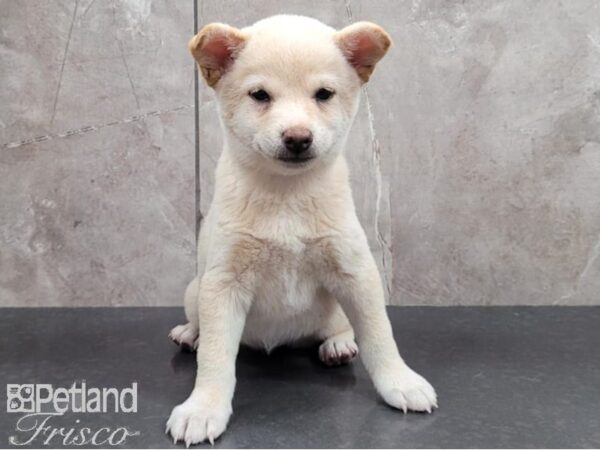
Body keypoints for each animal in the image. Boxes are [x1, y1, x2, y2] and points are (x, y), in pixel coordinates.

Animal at [166, 14, 438, 446]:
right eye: (260, 95)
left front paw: (400, 382)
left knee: (340, 326)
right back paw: (190, 333)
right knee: (200, 324)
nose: (297, 138)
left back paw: (339, 344)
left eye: (323, 94)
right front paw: (203, 409)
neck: (286, 195)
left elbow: (379, 334)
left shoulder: (355, 271)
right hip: (196, 290)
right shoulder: (224, 283)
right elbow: (215, 357)